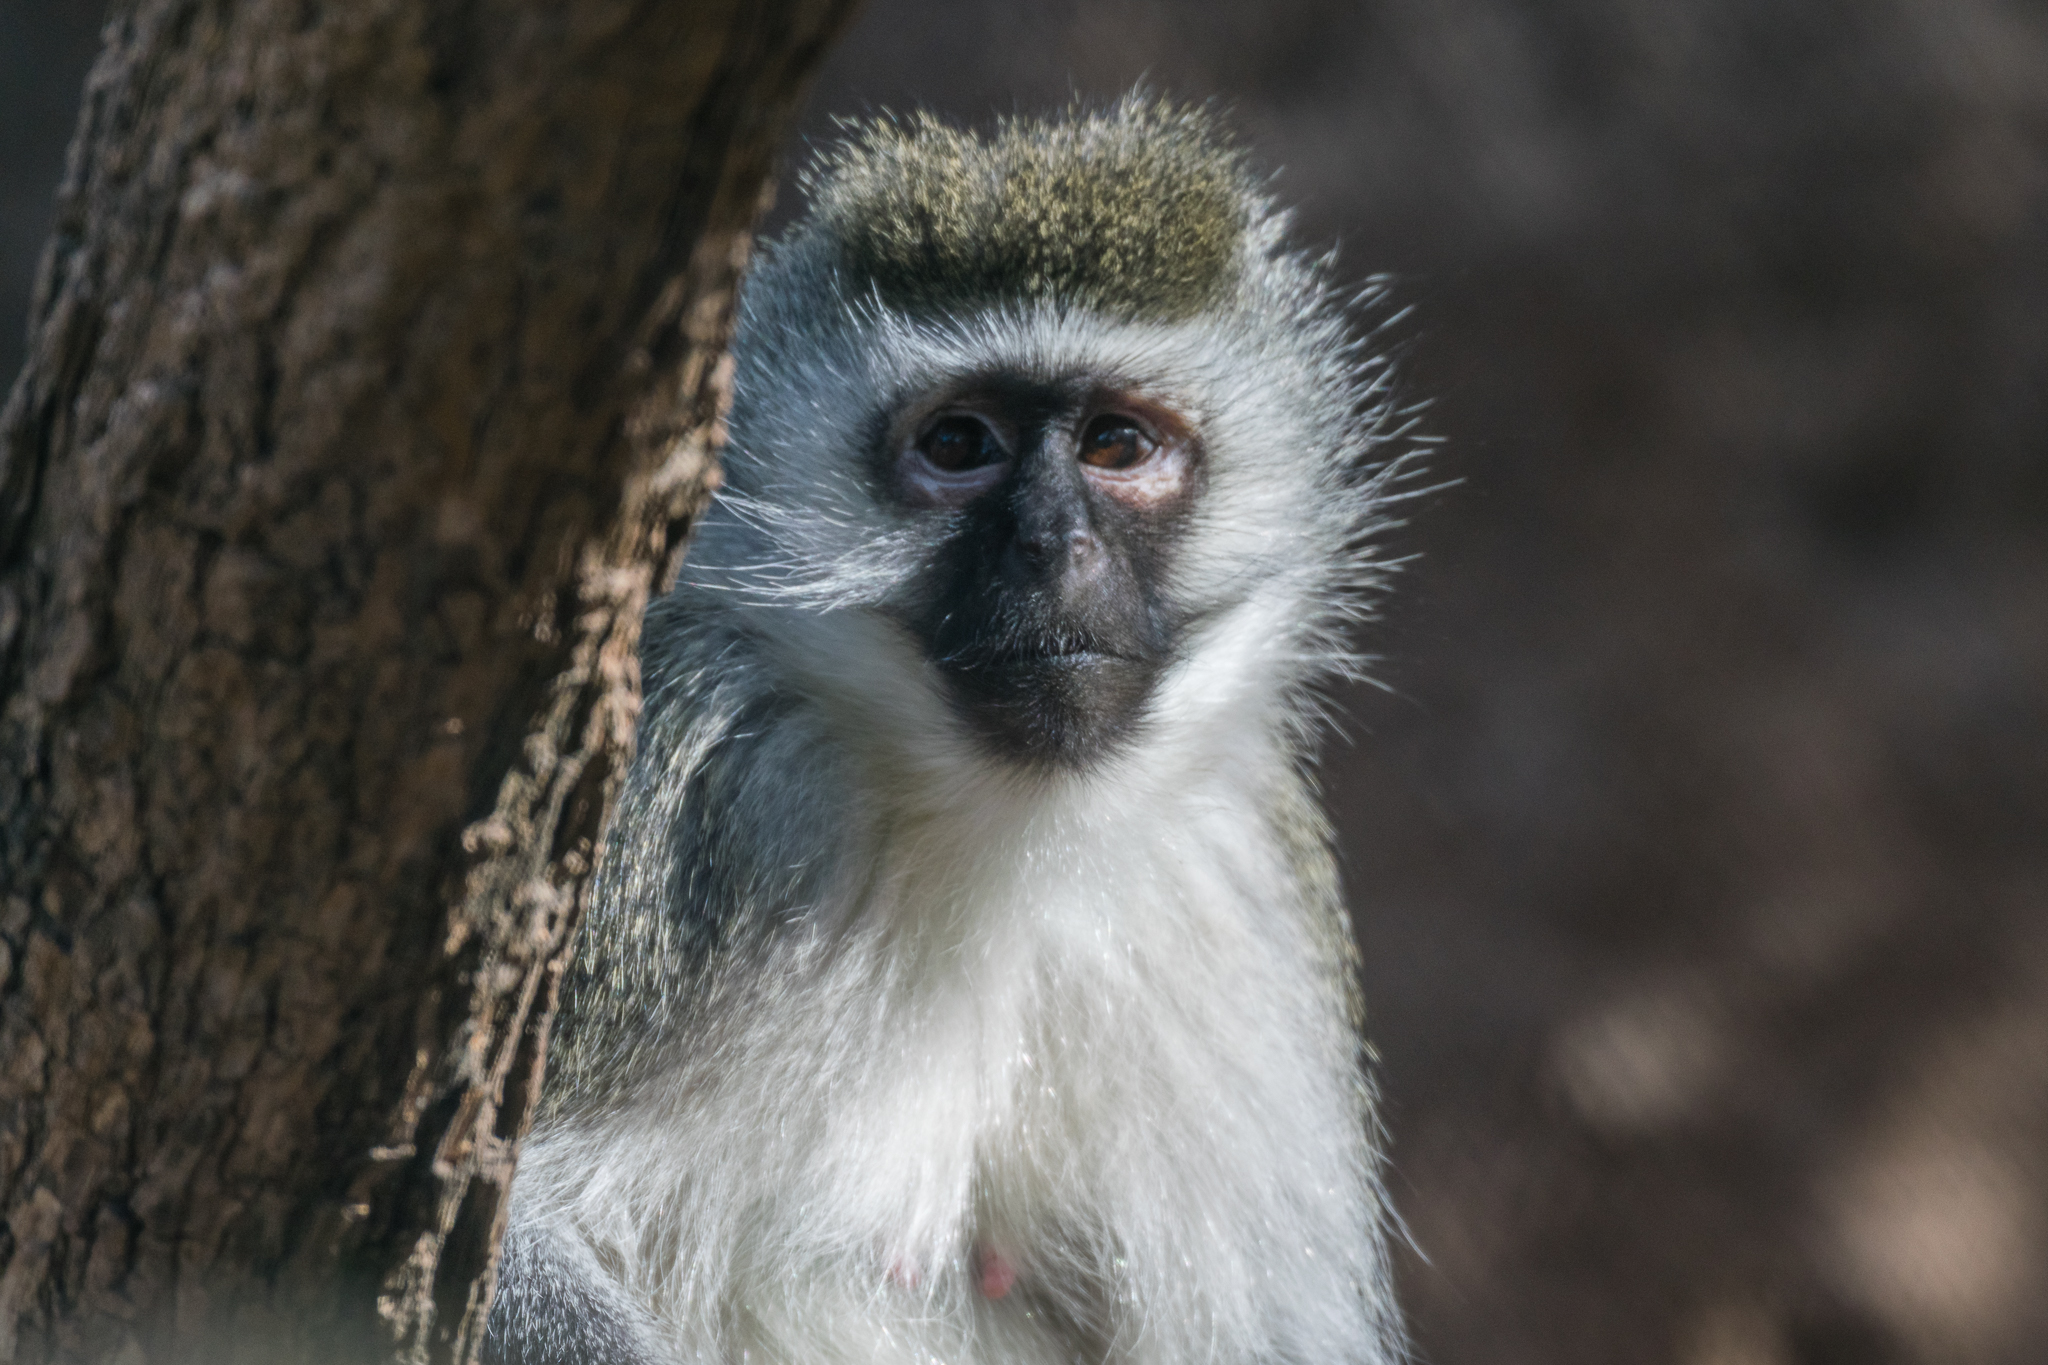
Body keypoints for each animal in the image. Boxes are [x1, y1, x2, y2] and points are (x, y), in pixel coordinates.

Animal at [484, 95, 1416, 1365]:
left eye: (1116, 446)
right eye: (960, 444)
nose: (1051, 548)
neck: (1002, 828)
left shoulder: (1239, 869)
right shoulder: (681, 773)